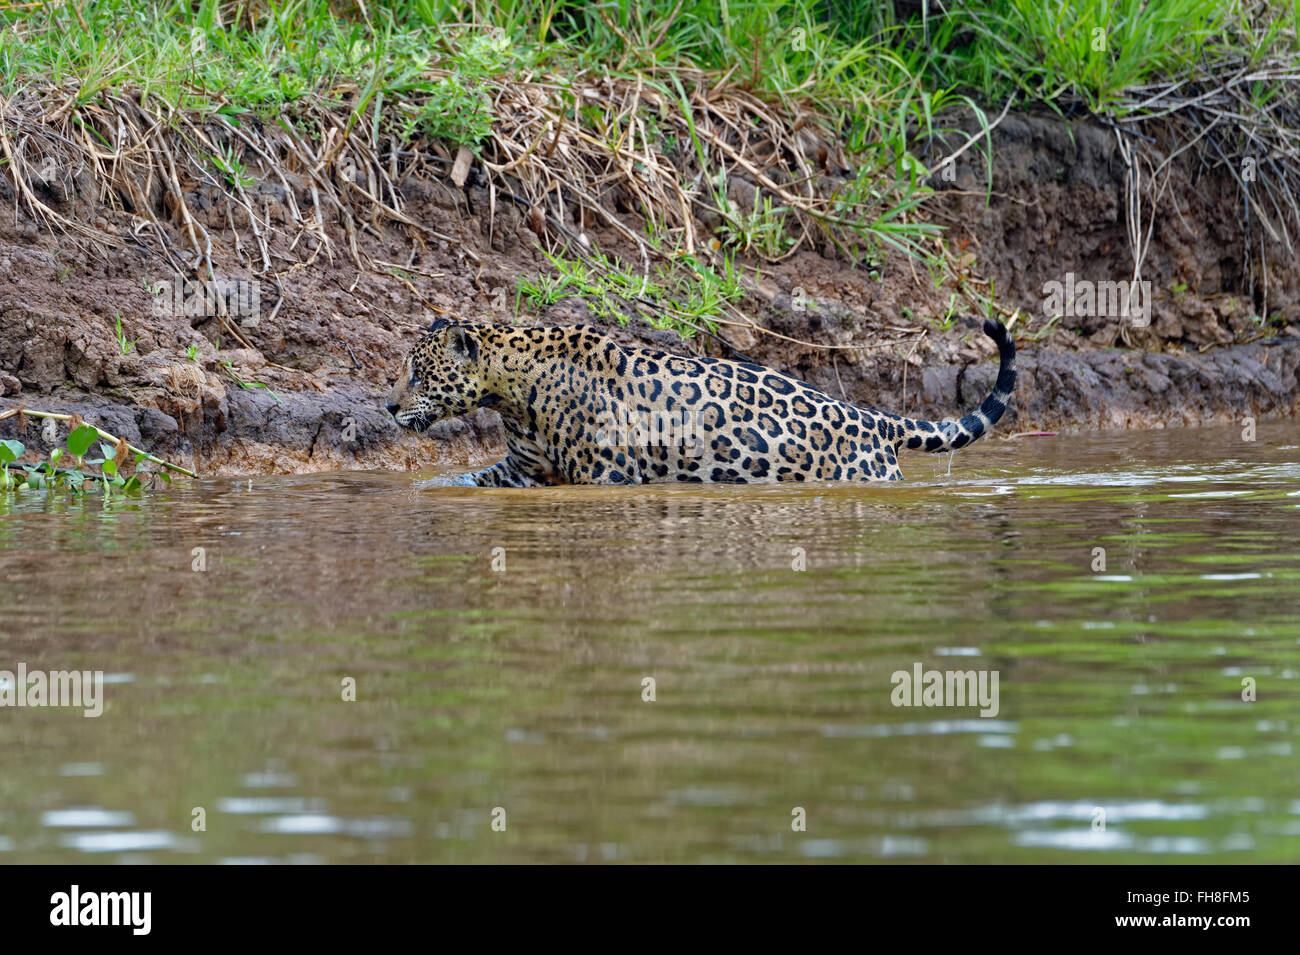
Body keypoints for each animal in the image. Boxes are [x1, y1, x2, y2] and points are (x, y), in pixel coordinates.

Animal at [386, 317, 1016, 486]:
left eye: (416, 374)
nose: (389, 409)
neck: (513, 394)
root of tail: (874, 415)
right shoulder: (521, 470)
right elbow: (469, 480)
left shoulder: (607, 477)